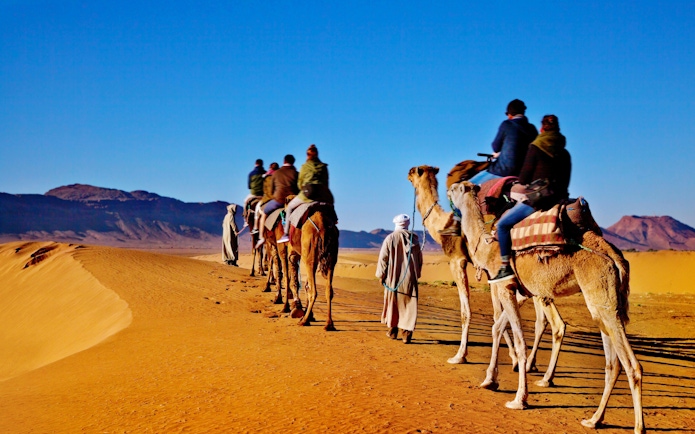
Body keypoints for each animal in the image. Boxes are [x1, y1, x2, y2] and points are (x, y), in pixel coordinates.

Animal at [407, 165, 561, 378]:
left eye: (414, 171)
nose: (408, 174)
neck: (441, 226)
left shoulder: (457, 261)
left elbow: (467, 311)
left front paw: (460, 356)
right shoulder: (491, 273)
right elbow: (497, 314)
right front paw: (513, 359)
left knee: (551, 321)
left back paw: (542, 372)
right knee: (543, 321)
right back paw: (534, 366)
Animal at [449, 179, 644, 433]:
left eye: (456, 189)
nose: (448, 188)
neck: (485, 245)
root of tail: (614, 255)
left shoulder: (504, 286)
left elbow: (519, 341)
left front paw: (519, 399)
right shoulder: (521, 291)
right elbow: (497, 328)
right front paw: (490, 380)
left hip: (601, 295)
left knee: (631, 365)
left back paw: (638, 427)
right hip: (604, 304)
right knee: (613, 364)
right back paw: (594, 419)